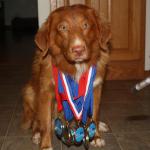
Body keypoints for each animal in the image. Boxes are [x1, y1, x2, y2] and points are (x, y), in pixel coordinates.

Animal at [22, 4, 111, 150]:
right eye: (63, 28)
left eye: (85, 25)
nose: (78, 50)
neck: (75, 67)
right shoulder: (46, 92)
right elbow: (46, 122)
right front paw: (45, 145)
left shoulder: (95, 88)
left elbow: (95, 115)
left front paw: (96, 137)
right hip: (29, 92)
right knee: (36, 119)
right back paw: (37, 134)